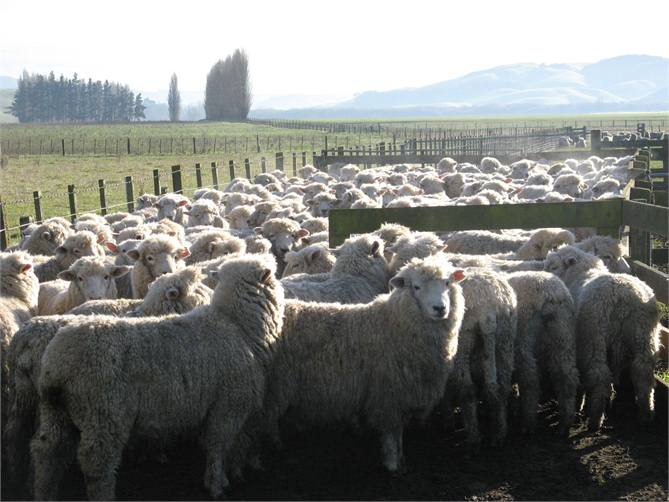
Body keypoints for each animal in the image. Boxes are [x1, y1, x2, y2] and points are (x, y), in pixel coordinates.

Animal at [30, 255, 285, 500]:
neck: (237, 325)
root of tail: (59, 361)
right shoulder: (228, 404)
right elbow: (218, 446)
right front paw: (216, 484)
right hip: (103, 414)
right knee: (97, 463)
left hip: (55, 411)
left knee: (46, 451)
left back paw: (43, 492)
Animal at [264, 255, 465, 471]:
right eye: (416, 287)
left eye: (447, 283)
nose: (440, 308)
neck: (393, 324)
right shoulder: (388, 394)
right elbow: (392, 434)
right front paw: (393, 464)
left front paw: (401, 459)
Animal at [504, 271, 579, 434]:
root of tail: (549, 294)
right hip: (563, 332)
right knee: (567, 374)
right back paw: (565, 422)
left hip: (524, 334)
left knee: (530, 377)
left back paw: (528, 423)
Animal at [543, 246, 660, 430]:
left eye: (554, 267)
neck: (580, 273)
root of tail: (623, 296)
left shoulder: (580, 343)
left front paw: (580, 404)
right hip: (645, 336)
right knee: (643, 373)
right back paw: (645, 414)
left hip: (595, 338)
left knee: (599, 375)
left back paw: (595, 418)